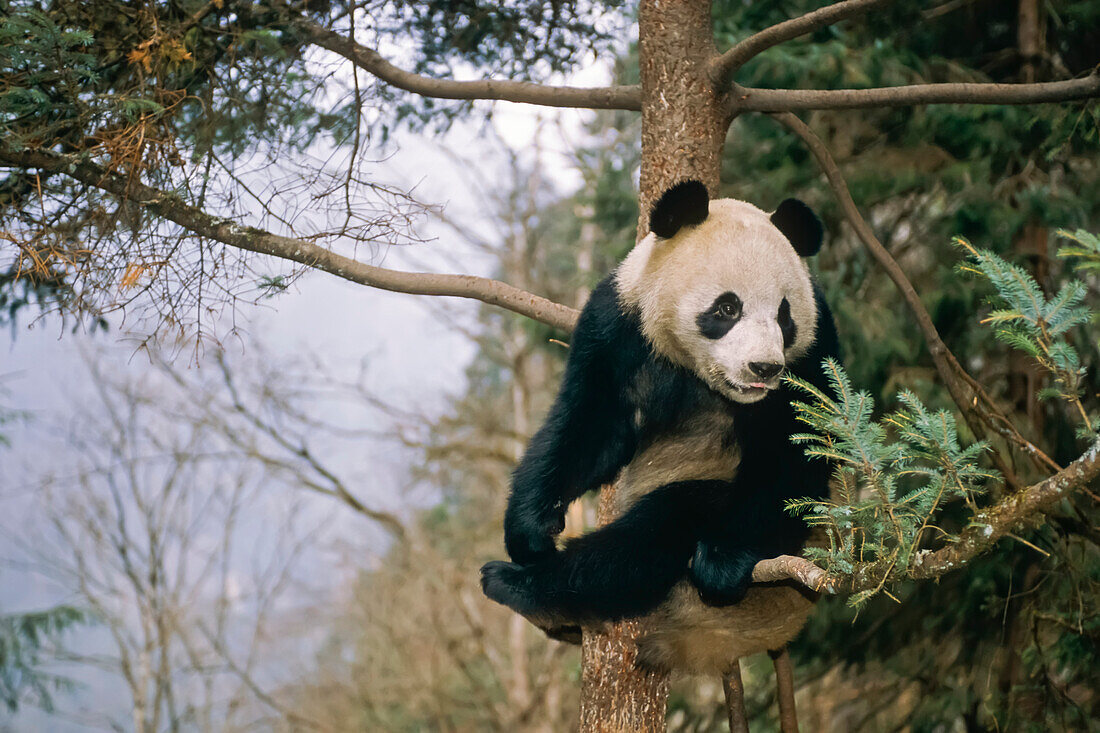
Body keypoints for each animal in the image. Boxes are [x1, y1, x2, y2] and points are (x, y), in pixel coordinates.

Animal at [477, 179, 836, 669]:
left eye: (785, 315)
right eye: (727, 308)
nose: (763, 368)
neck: (698, 370)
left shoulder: (813, 354)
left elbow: (799, 453)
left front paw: (724, 560)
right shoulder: (619, 325)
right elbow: (590, 427)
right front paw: (530, 529)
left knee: (658, 529)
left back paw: (526, 587)